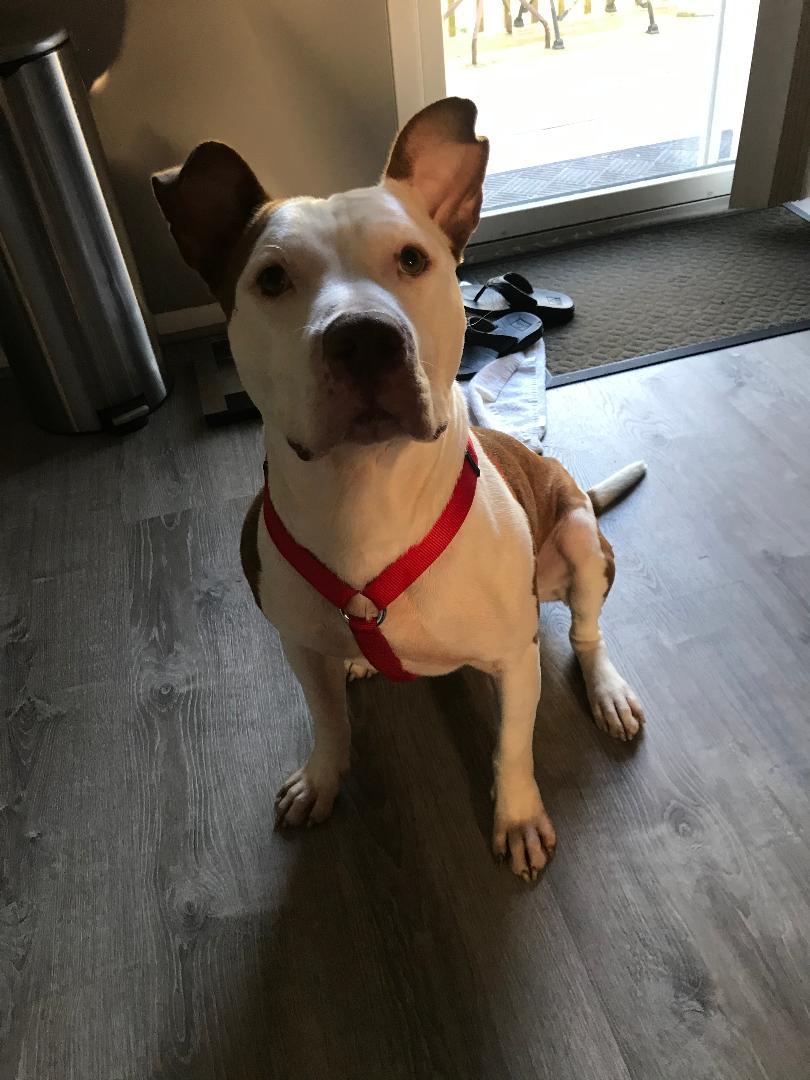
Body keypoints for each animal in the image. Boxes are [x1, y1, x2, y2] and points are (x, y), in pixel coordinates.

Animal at [153, 97, 648, 881]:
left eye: (413, 259)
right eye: (272, 278)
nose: (363, 337)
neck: (367, 493)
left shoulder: (515, 661)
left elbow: (512, 746)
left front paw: (517, 817)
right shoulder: (299, 645)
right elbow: (328, 722)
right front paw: (322, 779)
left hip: (576, 535)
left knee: (588, 629)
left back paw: (607, 691)